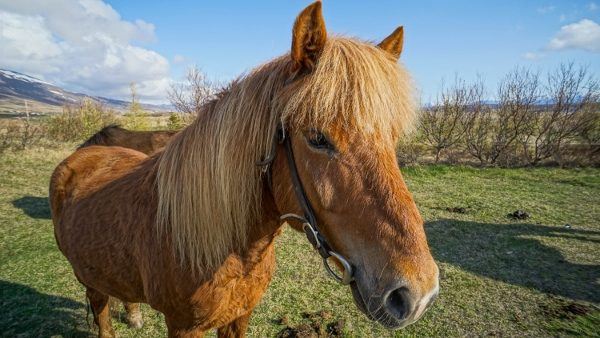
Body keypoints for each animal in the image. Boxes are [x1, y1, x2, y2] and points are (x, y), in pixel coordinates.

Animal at [50, 1, 436, 336]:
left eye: (393, 138)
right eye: (316, 138)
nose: (417, 293)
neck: (231, 250)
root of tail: (81, 155)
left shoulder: (240, 316)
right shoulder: (184, 327)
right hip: (87, 277)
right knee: (100, 311)